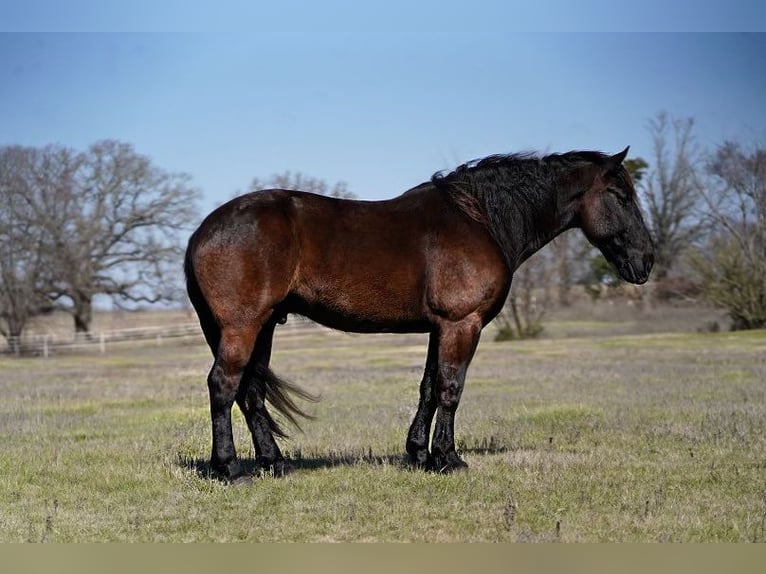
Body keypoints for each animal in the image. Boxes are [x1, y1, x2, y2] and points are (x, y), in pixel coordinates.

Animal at [184, 147, 654, 483]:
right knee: (223, 385)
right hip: (243, 326)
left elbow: (429, 387)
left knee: (250, 391)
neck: (479, 220)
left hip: (262, 327)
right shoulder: (462, 323)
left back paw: (275, 464)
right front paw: (448, 459)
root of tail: (202, 231)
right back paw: (230, 468)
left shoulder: (439, 327)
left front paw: (419, 454)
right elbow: (450, 388)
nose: (646, 260)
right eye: (621, 196)